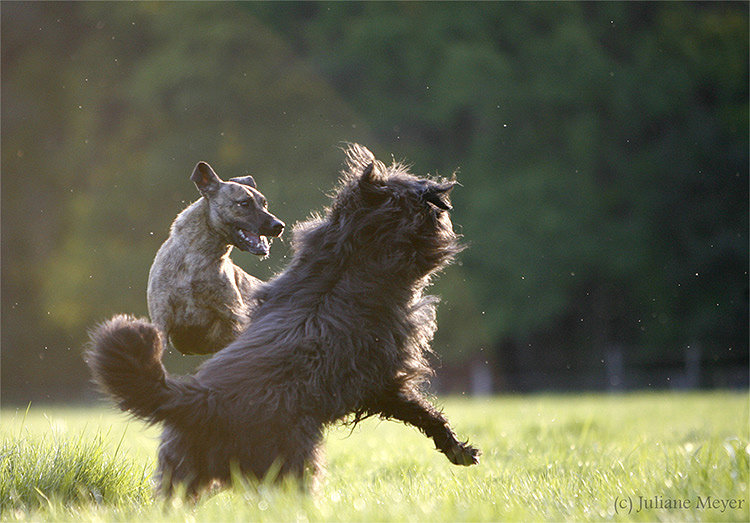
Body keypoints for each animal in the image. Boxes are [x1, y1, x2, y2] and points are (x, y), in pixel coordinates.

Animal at [85, 144, 482, 500]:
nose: (439, 198)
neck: (346, 260)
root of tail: (198, 399)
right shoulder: (383, 377)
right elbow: (422, 410)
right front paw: (458, 449)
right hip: (293, 455)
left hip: (182, 471)